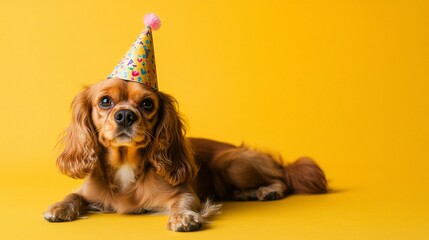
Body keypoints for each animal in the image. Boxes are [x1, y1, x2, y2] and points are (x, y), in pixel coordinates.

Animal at [44, 78, 328, 232]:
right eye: (105, 101)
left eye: (147, 103)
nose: (125, 115)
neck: (126, 165)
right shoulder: (87, 192)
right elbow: (73, 196)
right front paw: (58, 207)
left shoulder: (185, 193)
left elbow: (183, 204)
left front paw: (184, 218)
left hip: (230, 163)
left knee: (282, 179)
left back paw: (268, 191)